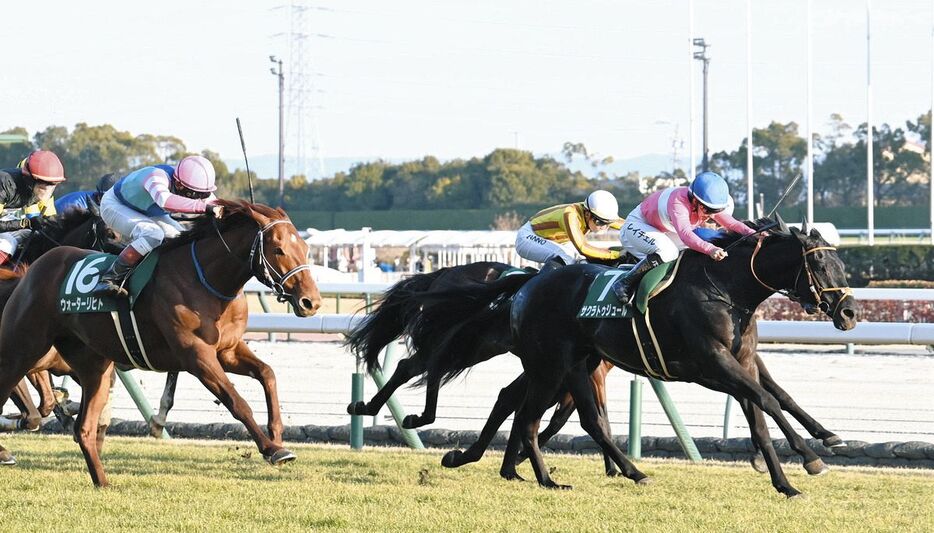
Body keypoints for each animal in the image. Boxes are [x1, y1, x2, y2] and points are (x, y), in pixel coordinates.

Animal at [0, 200, 324, 486]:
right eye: (278, 249)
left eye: (305, 248)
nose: (311, 302)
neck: (207, 280)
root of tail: (30, 272)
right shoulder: (197, 356)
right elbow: (236, 402)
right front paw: (272, 450)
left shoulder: (228, 351)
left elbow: (267, 373)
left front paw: (277, 436)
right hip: (21, 350)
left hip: (94, 366)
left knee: (84, 428)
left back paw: (103, 482)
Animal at [408, 218, 856, 496]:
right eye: (819, 261)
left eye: (840, 260)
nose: (850, 313)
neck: (725, 290)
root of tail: (527, 284)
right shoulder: (711, 364)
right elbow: (766, 399)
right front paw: (810, 457)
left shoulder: (740, 363)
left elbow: (766, 412)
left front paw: (786, 482)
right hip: (551, 366)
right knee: (529, 416)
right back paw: (546, 477)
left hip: (576, 366)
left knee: (572, 418)